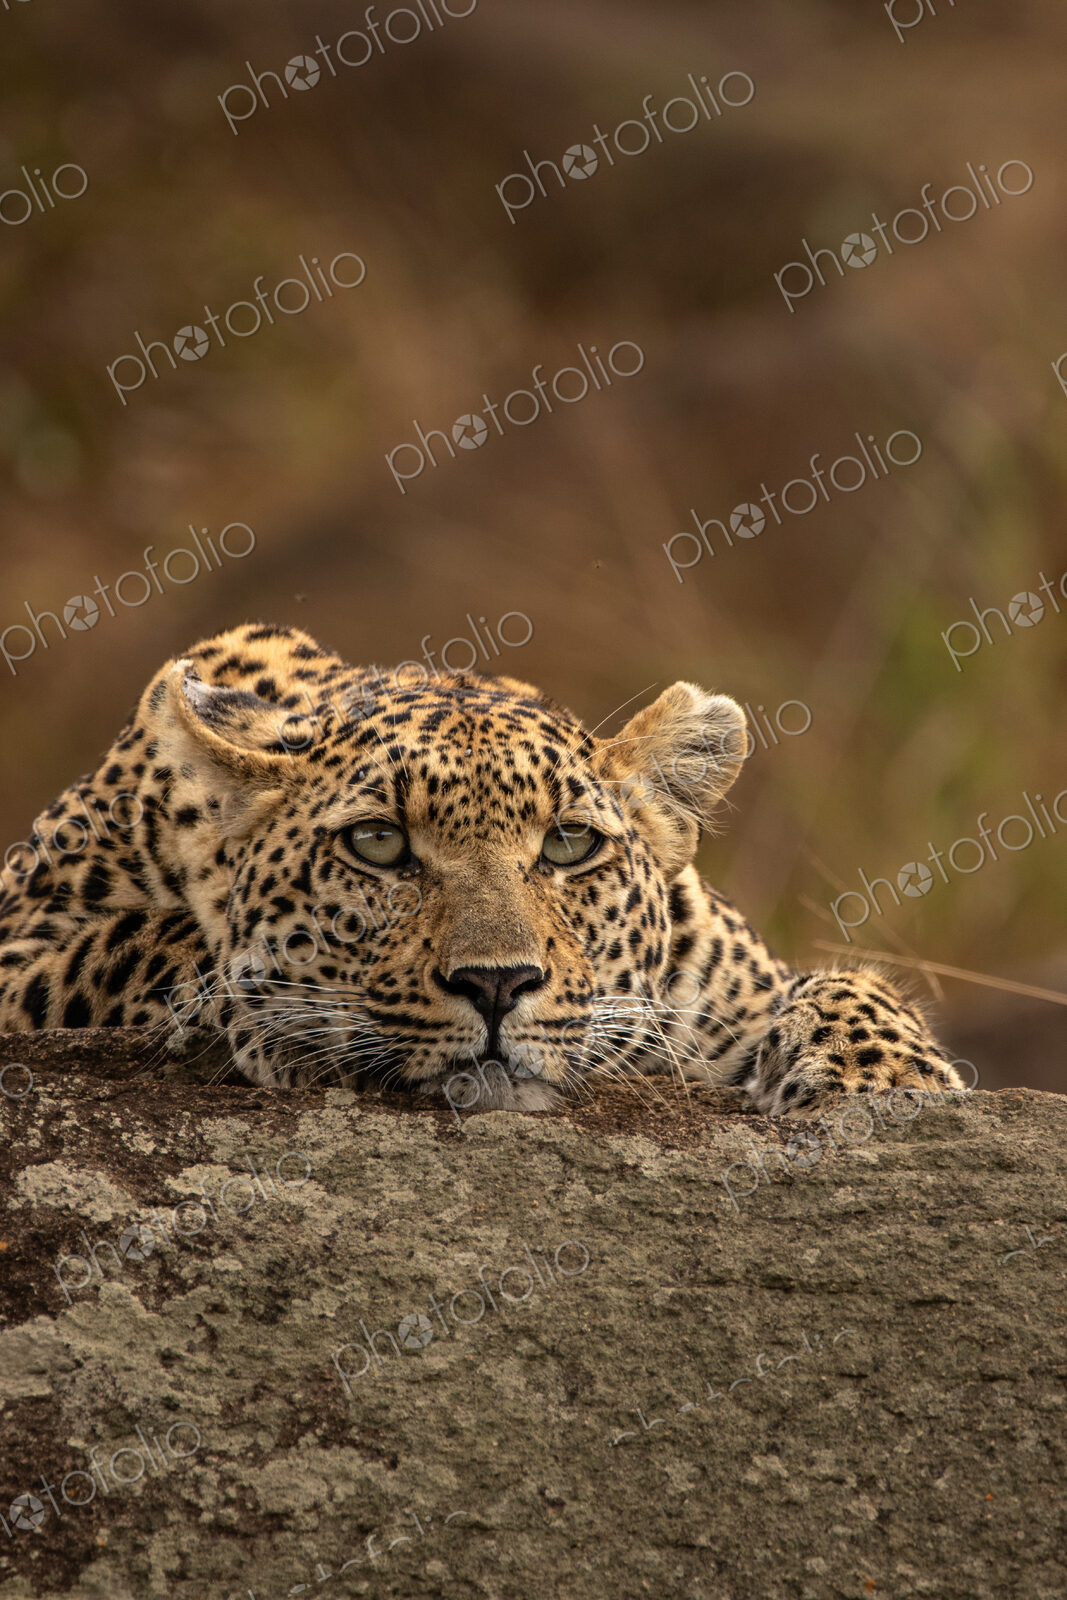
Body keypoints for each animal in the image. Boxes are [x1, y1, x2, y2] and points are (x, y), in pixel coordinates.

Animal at [0, 622, 965, 1115]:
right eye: (377, 844)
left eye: (569, 844)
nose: (497, 984)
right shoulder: (22, 947)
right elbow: (152, 940)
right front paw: (275, 1019)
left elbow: (844, 984)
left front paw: (883, 1079)